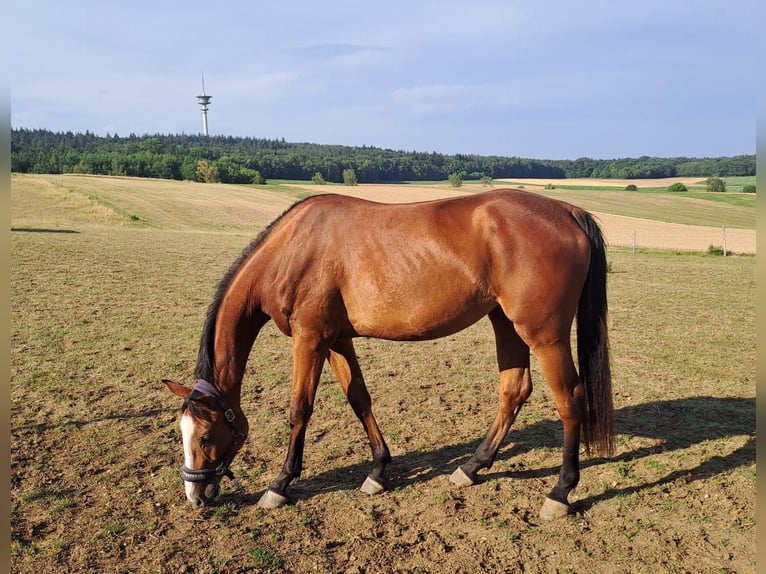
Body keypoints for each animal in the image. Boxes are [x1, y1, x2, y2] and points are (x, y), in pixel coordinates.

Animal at [163, 188, 613, 521]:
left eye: (205, 435)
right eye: (181, 433)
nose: (196, 495)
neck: (293, 249)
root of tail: (567, 211)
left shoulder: (309, 339)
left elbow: (299, 410)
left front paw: (280, 484)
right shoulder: (336, 340)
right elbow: (359, 398)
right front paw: (379, 471)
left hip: (544, 335)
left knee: (570, 400)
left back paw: (560, 491)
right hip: (505, 322)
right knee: (514, 391)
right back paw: (471, 468)